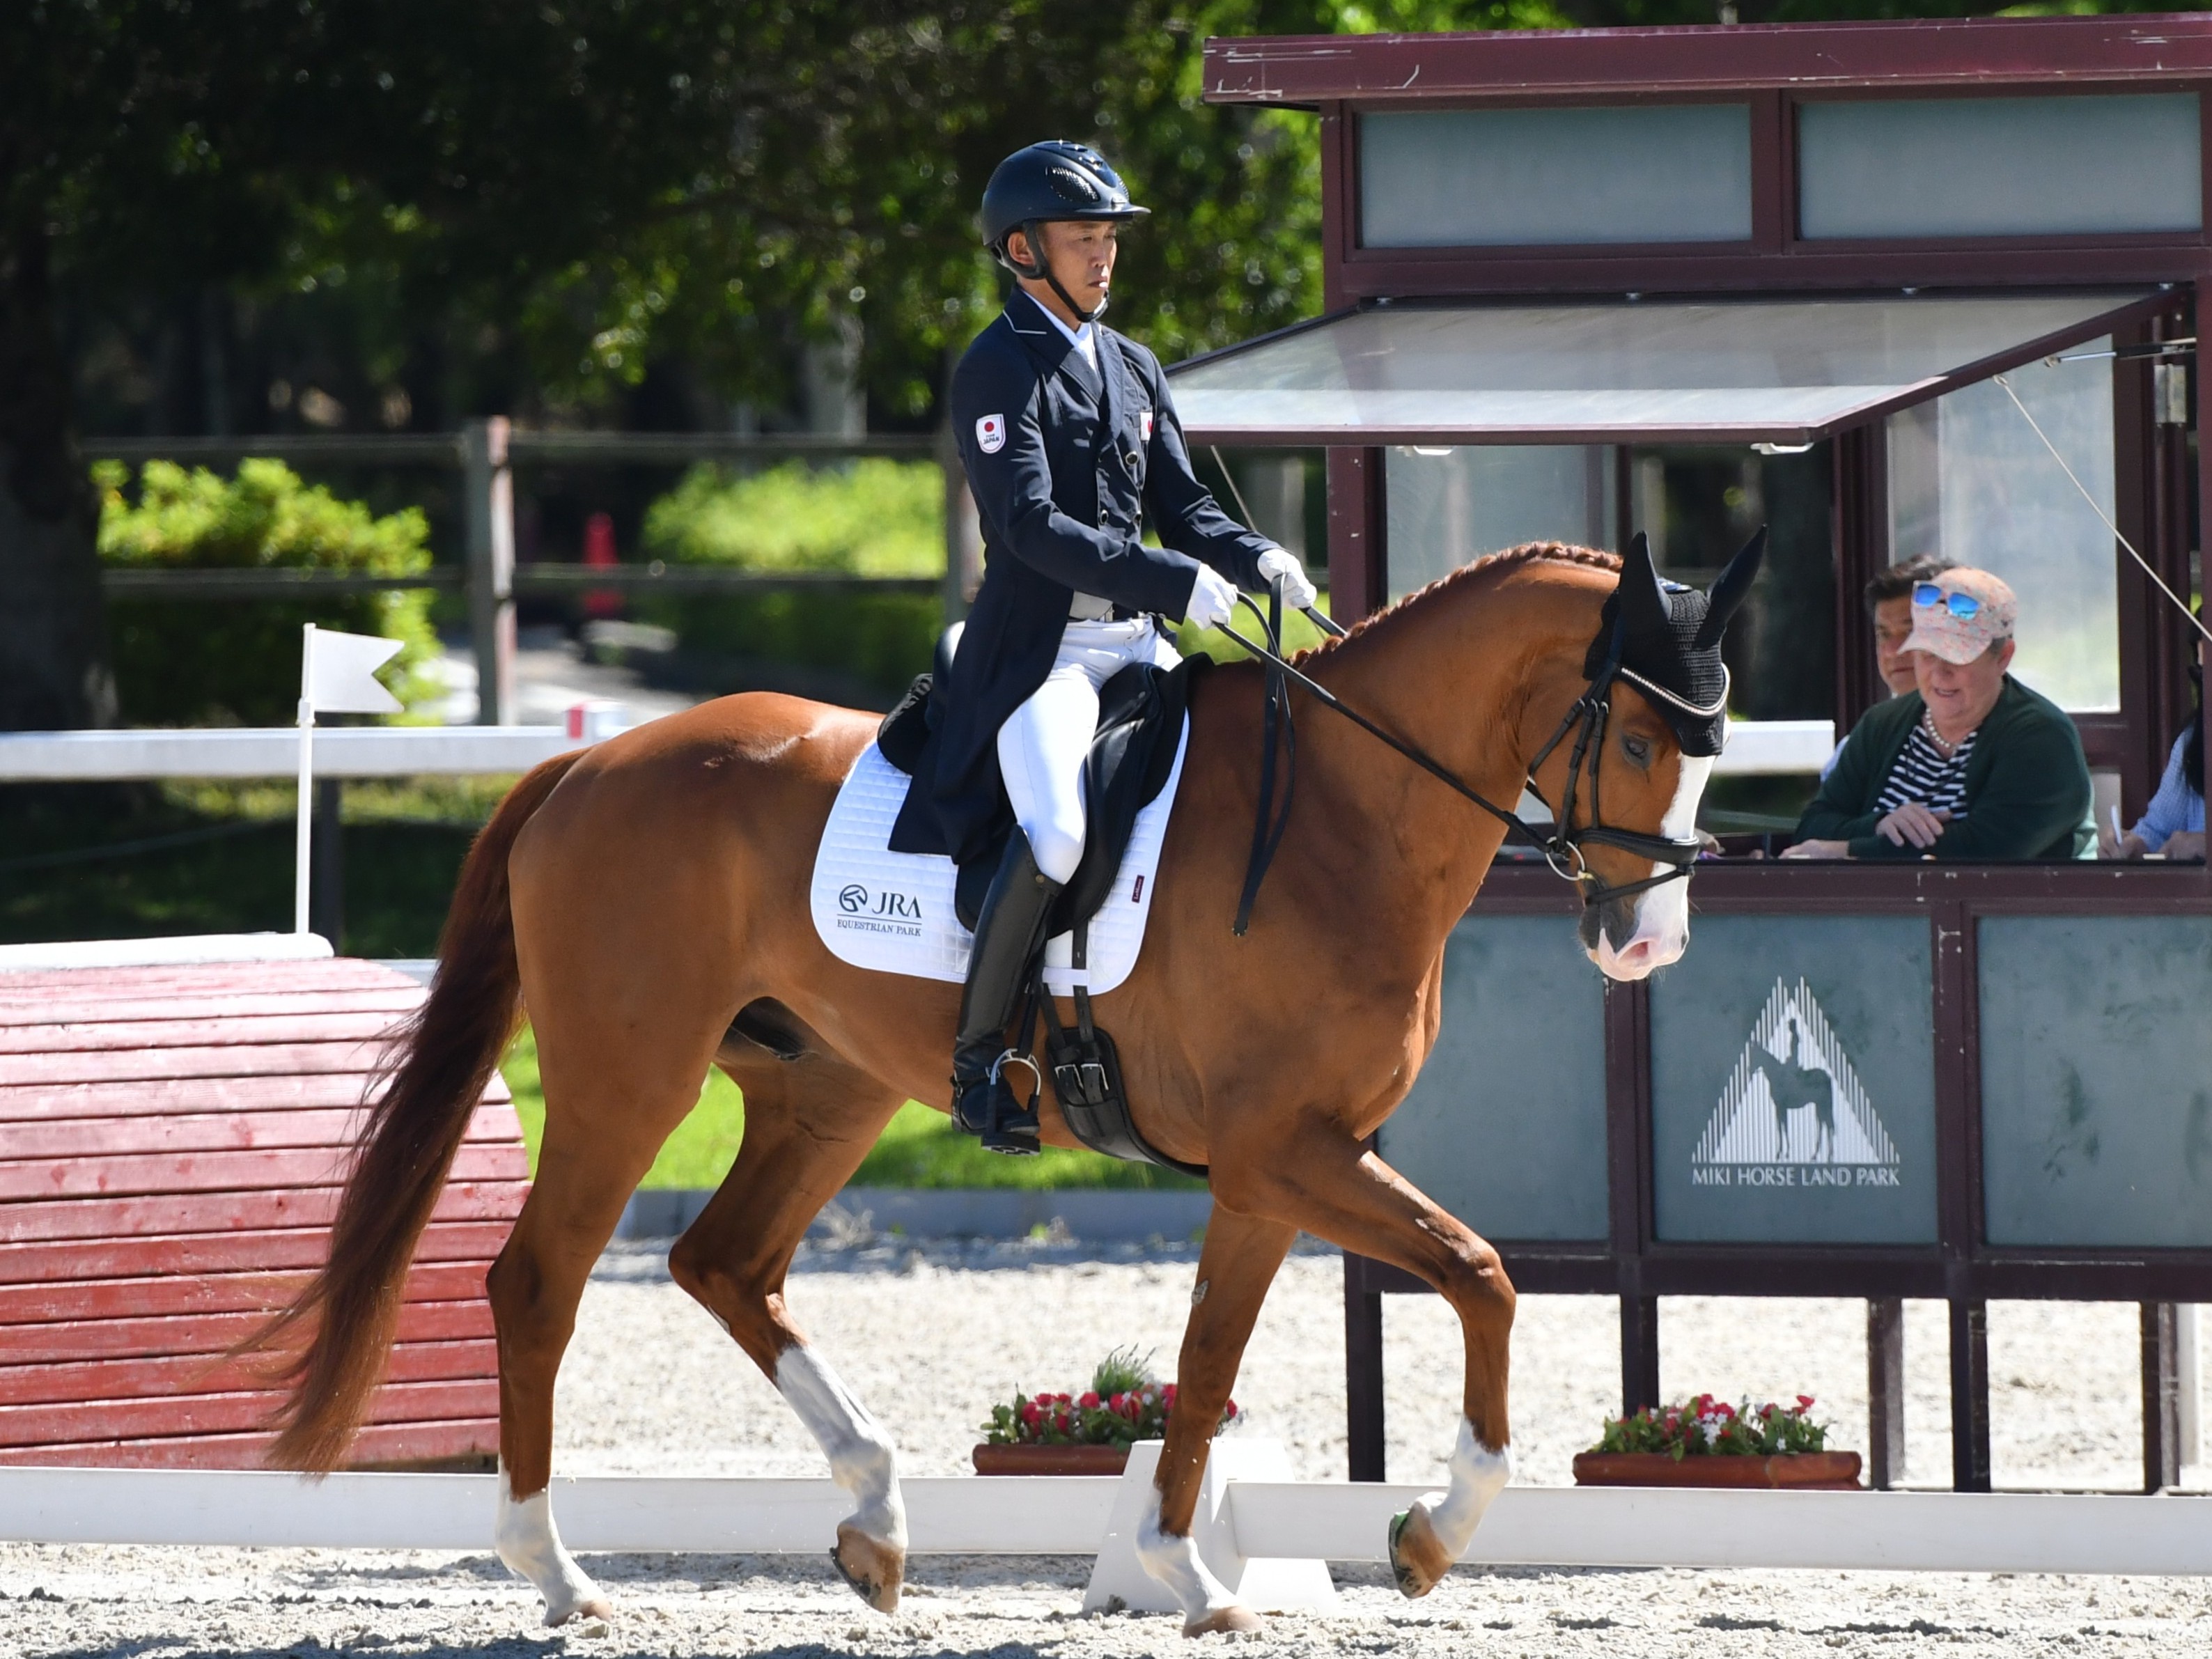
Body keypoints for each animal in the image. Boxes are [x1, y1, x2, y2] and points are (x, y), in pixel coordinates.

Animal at [250, 534, 1758, 1637]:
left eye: (1711, 750)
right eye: (1635, 741)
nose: (1648, 943)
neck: (1346, 813)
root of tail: (589, 762)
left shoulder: (1276, 1167)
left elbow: (1210, 1365)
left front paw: (1186, 1571)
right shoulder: (1289, 1152)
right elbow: (1480, 1273)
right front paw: (1426, 1536)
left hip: (828, 1090)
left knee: (725, 1263)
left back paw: (873, 1522)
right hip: (633, 1078)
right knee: (539, 1284)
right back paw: (558, 1574)